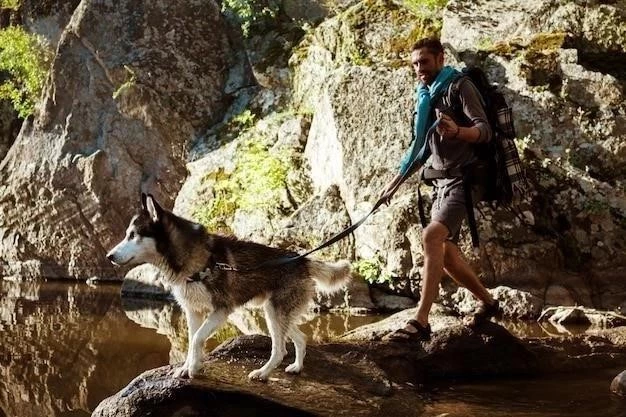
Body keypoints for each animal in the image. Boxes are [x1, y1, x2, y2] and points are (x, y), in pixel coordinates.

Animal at [107, 193, 352, 378]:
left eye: (132, 235)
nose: (109, 256)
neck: (194, 260)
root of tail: (302, 260)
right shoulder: (193, 311)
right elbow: (191, 341)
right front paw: (189, 367)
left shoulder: (221, 310)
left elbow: (197, 339)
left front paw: (193, 368)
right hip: (276, 313)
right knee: (301, 339)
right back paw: (297, 367)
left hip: (275, 313)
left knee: (280, 349)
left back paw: (263, 373)